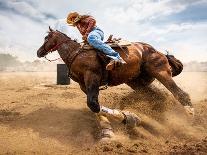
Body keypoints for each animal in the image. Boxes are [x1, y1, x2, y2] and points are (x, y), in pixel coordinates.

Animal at [36, 27, 194, 139]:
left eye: (46, 38)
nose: (39, 51)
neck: (76, 54)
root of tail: (157, 51)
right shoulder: (84, 86)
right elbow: (95, 106)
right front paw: (110, 129)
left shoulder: (92, 77)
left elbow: (93, 104)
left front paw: (128, 119)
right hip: (138, 83)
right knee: (159, 97)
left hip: (161, 73)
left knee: (180, 94)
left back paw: (190, 118)